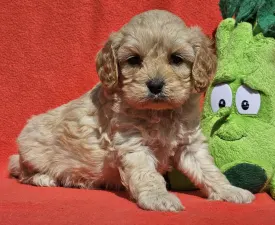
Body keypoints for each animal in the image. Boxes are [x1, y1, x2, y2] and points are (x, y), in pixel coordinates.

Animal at [8, 10, 254, 211]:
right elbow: (147, 174)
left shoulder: (190, 144)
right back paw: (45, 178)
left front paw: (230, 190)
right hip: (31, 148)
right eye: (134, 60)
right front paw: (158, 198)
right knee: (22, 172)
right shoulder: (132, 143)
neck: (159, 112)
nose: (155, 85)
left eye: (176, 59)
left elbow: (208, 169)